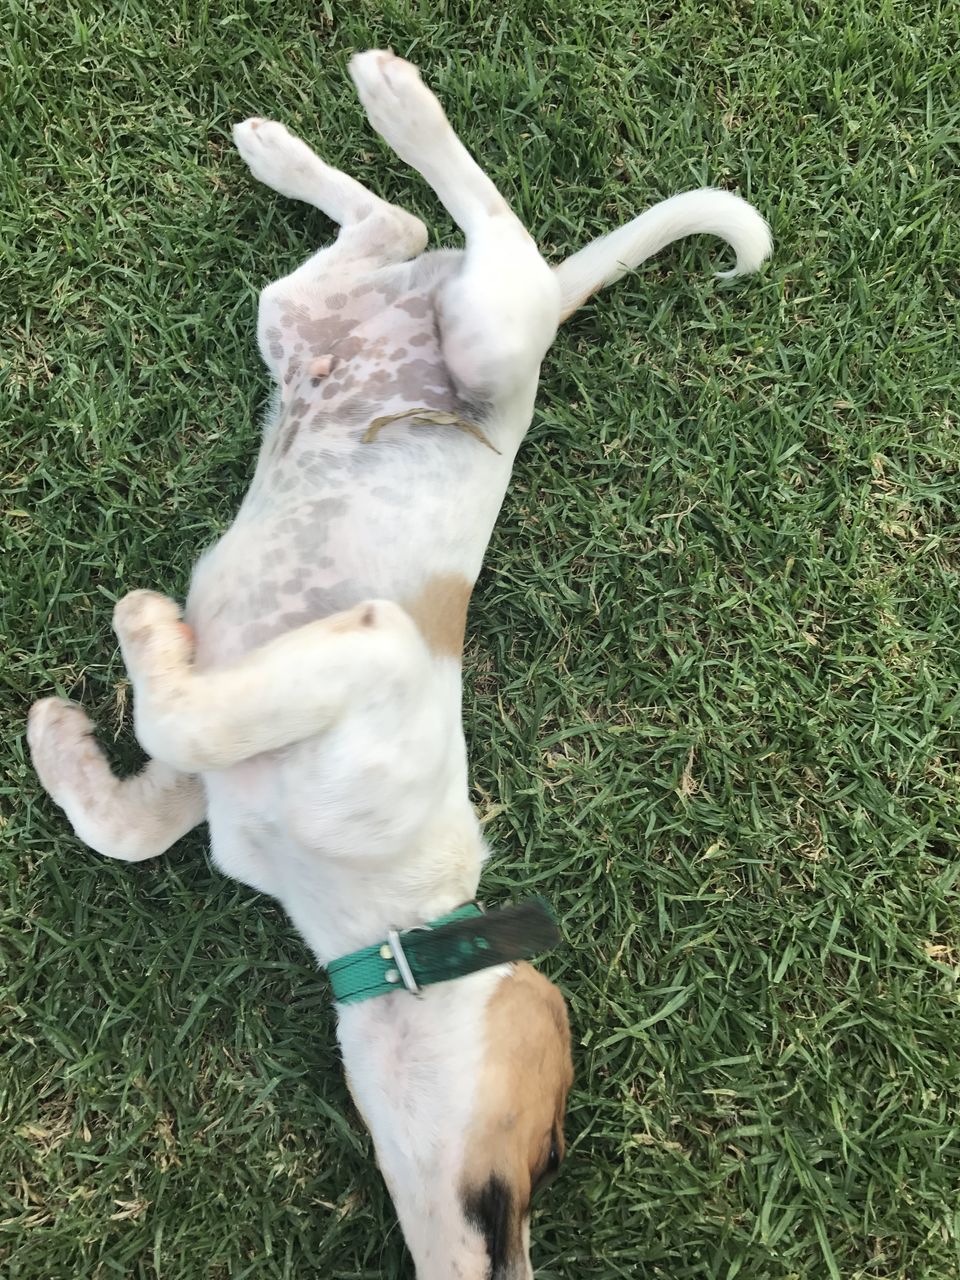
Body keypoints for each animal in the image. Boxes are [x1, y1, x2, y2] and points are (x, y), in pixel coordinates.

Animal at [26, 49, 773, 1280]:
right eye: (555, 1143)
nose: (514, 1238)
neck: (394, 919)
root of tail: (534, 313)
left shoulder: (335, 672)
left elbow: (152, 770)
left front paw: (97, 690)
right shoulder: (324, 685)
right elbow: (155, 770)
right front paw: (110, 682)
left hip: (349, 322)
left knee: (405, 219)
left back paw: (322, 137)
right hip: (473, 337)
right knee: (464, 216)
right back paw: (384, 107)